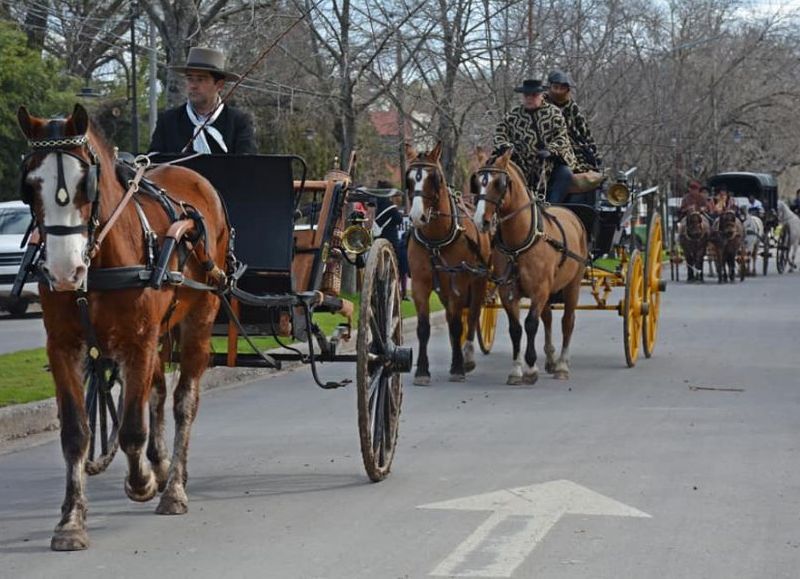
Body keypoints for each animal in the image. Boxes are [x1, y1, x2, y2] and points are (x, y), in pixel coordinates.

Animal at [18, 105, 228, 552]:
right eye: (30, 185)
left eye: (86, 183)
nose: (64, 271)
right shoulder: (63, 346)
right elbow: (76, 433)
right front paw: (71, 521)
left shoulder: (138, 341)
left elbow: (132, 428)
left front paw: (142, 482)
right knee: (158, 393)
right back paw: (165, 466)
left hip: (200, 317)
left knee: (184, 401)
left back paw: (174, 487)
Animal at [410, 142, 490, 386]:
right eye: (410, 178)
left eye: (435, 178)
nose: (416, 216)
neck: (436, 239)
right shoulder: (419, 283)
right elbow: (424, 328)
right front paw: (422, 371)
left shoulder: (460, 281)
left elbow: (457, 325)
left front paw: (457, 367)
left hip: (478, 280)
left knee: (471, 316)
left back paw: (467, 356)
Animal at [468, 150, 588, 386]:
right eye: (477, 183)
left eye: (500, 183)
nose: (481, 221)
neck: (520, 242)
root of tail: (573, 216)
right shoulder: (508, 291)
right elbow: (516, 329)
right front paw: (516, 370)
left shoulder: (539, 289)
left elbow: (531, 324)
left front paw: (531, 368)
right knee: (548, 318)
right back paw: (551, 359)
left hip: (573, 285)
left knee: (567, 321)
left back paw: (562, 365)